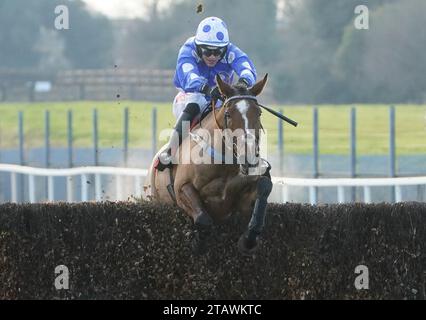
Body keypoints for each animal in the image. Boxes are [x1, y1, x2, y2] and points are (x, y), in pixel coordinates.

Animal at [146, 74, 272, 255]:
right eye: (228, 114)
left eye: (259, 113)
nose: (248, 157)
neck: (224, 163)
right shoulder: (181, 187)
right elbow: (203, 218)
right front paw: (197, 242)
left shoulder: (241, 198)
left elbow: (264, 185)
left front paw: (249, 239)